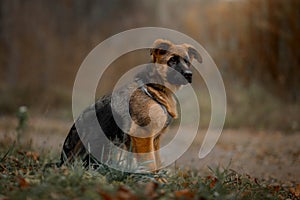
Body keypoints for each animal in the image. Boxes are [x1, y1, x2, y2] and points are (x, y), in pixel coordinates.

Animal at [60, 39, 202, 172]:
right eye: (172, 60)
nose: (189, 74)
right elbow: (150, 164)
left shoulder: (155, 140)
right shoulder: (142, 134)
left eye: (187, 62)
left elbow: (157, 163)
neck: (151, 89)